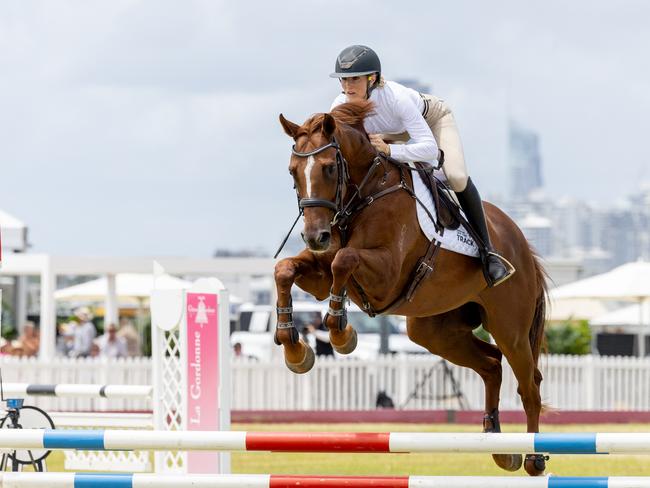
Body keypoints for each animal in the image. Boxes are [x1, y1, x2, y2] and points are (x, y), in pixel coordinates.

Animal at [272, 100, 548, 476]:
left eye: (329, 168)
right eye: (292, 171)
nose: (315, 236)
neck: (363, 194)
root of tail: (522, 244)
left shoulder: (386, 275)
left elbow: (343, 259)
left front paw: (341, 333)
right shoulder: (320, 273)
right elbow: (285, 269)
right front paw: (294, 348)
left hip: (511, 330)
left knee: (529, 385)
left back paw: (534, 458)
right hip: (434, 331)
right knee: (491, 364)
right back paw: (497, 443)